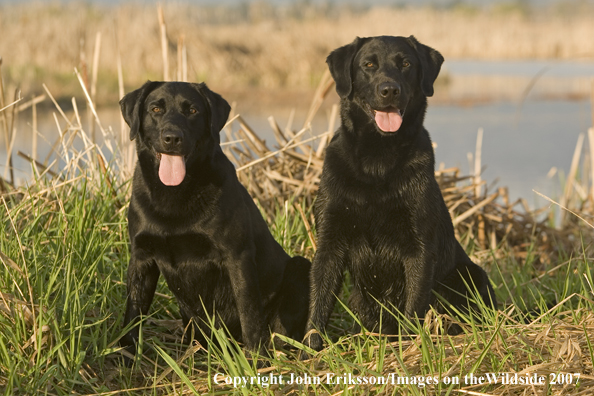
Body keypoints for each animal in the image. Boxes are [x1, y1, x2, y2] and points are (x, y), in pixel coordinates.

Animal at [118, 80, 308, 356]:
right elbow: (133, 311)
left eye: (192, 110)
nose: (172, 138)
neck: (175, 193)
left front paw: (256, 358)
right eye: (155, 109)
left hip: (301, 267)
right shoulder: (142, 256)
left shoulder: (236, 256)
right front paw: (125, 352)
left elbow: (249, 313)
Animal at [302, 35, 492, 352]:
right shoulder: (330, 241)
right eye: (368, 65)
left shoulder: (419, 248)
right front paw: (308, 351)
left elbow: (413, 306)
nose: (389, 90)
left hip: (469, 275)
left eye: (405, 64)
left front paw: (408, 348)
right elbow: (319, 301)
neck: (377, 161)